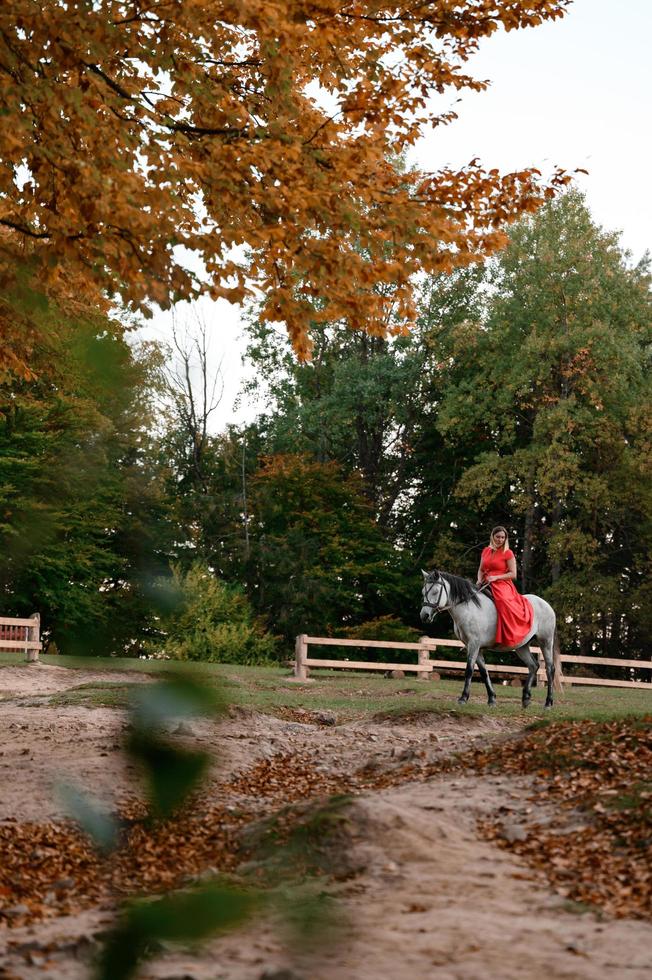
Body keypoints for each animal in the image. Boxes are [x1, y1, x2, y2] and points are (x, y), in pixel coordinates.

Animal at [420, 572, 556, 708]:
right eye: (423, 592)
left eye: (435, 592)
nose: (424, 616)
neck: (469, 610)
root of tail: (546, 604)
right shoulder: (475, 647)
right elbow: (484, 672)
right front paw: (491, 699)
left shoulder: (473, 645)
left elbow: (469, 670)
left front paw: (463, 698)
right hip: (521, 646)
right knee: (533, 666)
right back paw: (526, 698)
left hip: (545, 642)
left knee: (549, 669)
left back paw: (548, 702)